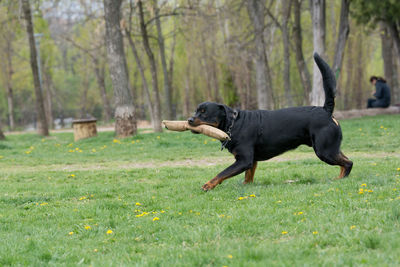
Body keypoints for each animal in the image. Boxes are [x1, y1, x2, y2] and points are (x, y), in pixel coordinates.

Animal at [188, 52, 354, 191]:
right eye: (196, 111)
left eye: (204, 112)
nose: (189, 119)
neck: (233, 125)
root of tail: (326, 110)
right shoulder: (251, 160)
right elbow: (248, 176)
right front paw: (246, 186)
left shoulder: (244, 159)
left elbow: (222, 172)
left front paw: (208, 184)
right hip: (331, 147)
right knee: (345, 160)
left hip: (324, 150)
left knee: (348, 163)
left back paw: (340, 180)